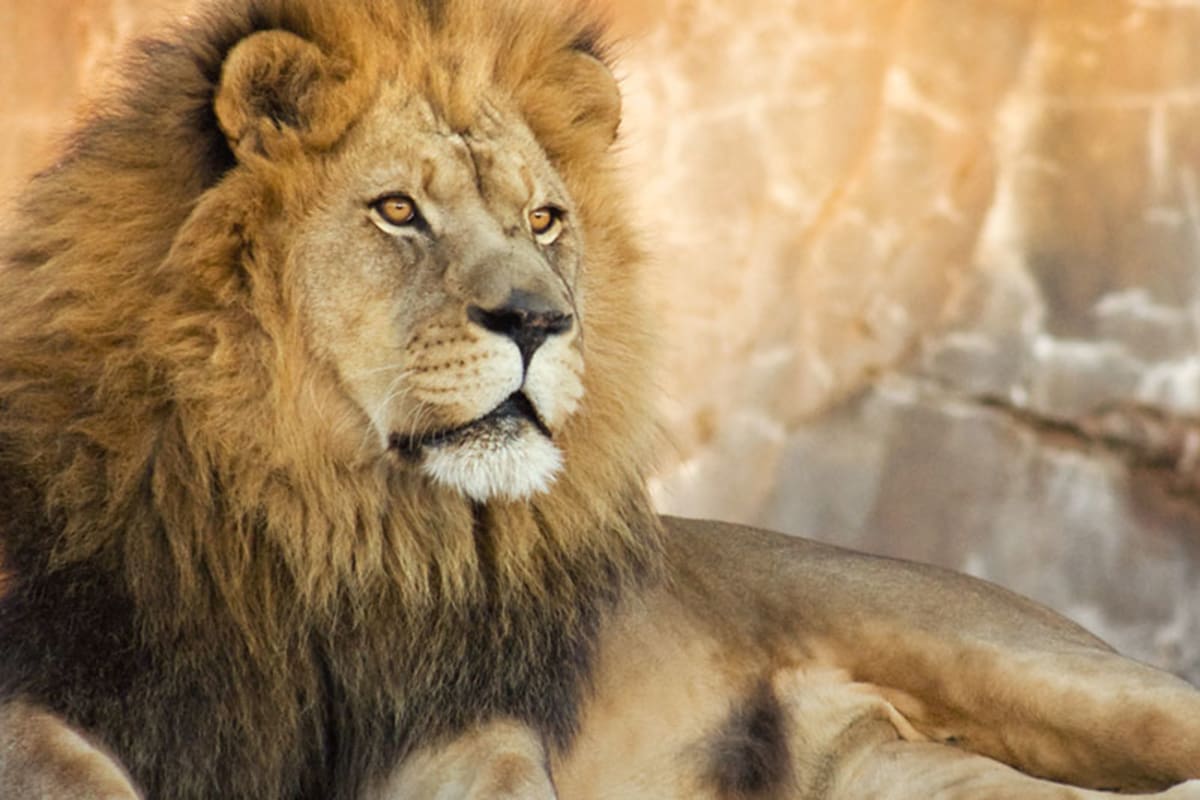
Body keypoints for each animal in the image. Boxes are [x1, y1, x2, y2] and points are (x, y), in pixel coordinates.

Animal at [0, 0, 1197, 798]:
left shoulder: (458, 723)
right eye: (398, 211)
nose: (540, 320)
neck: (332, 519)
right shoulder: (54, 695)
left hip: (1029, 667)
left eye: (542, 220)